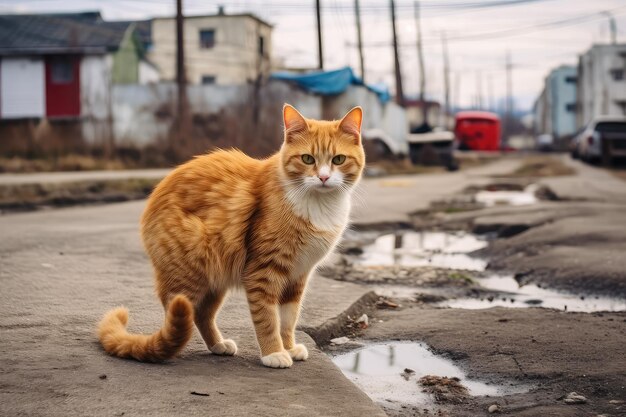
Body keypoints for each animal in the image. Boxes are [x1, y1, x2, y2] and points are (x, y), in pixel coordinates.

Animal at [95, 105, 364, 368]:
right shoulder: (263, 271)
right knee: (178, 313)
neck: (318, 205)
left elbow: (288, 319)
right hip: (192, 273)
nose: (323, 177)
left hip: (216, 280)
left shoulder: (298, 276)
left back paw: (218, 345)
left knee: (201, 314)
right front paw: (274, 353)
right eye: (307, 159)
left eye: (338, 159)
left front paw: (288, 347)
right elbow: (268, 319)